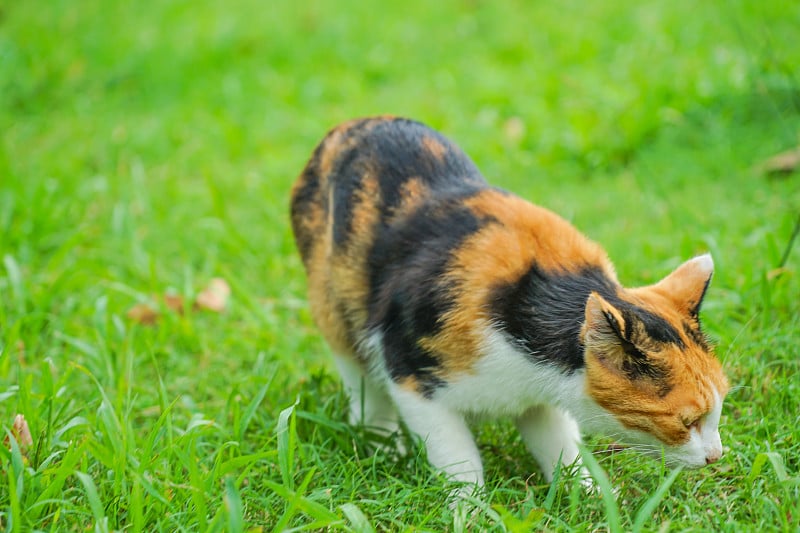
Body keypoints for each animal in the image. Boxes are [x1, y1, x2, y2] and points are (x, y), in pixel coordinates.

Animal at [290, 115, 728, 486]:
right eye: (687, 422)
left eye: (719, 408)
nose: (716, 456)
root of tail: (352, 124)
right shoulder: (411, 372)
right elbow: (458, 457)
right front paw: (470, 511)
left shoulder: (539, 399)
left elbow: (560, 447)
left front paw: (588, 500)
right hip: (335, 308)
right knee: (359, 374)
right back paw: (381, 445)